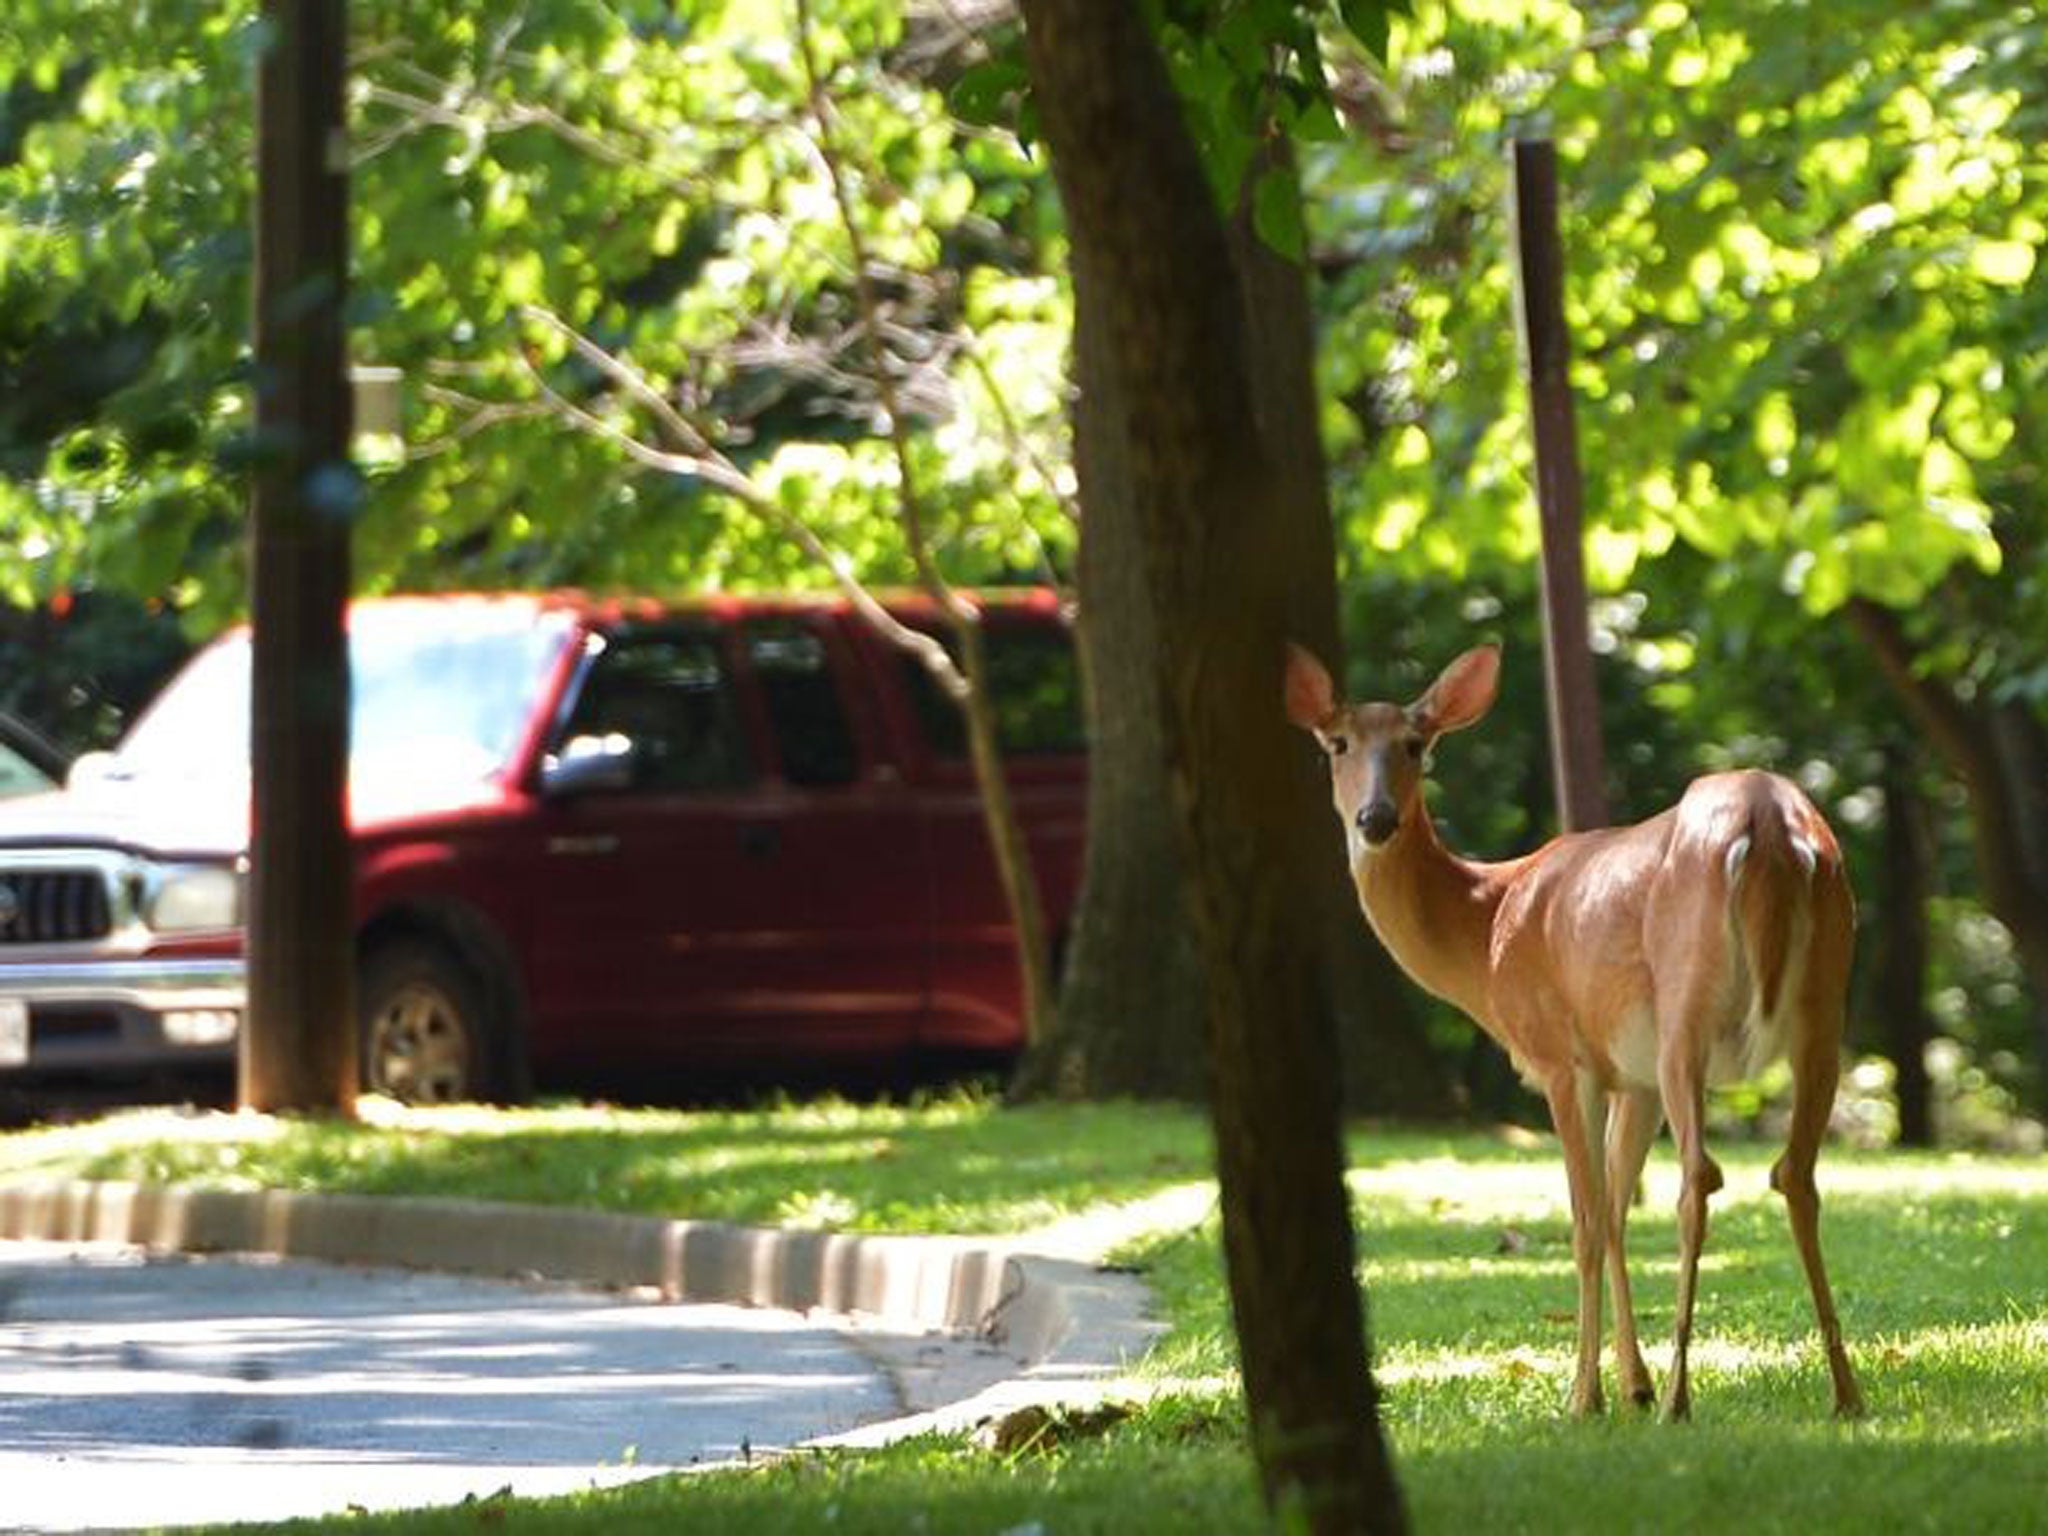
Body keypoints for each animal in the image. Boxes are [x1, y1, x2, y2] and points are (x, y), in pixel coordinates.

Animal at [1286, 643, 1867, 1425]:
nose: (1375, 819)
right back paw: (1845, 1393)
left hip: (1687, 1007)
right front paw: (1629, 1383)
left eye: (1415, 744)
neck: (1489, 927)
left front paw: (1588, 1395)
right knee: (1795, 1174)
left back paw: (1680, 1399)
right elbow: (1618, 1213)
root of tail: (1771, 826)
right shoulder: (1633, 1077)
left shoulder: (1562, 1058)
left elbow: (1587, 1221)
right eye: (1337, 743)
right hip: (1822, 1011)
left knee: (1699, 1177)